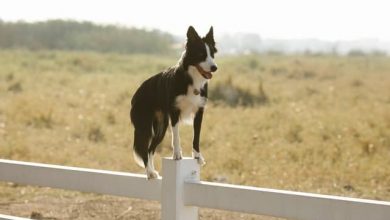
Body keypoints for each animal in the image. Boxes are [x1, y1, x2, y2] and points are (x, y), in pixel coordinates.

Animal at [130, 26, 216, 179]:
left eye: (212, 54)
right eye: (201, 54)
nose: (214, 67)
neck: (191, 80)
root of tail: (137, 93)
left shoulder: (199, 112)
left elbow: (196, 137)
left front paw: (198, 156)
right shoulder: (175, 112)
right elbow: (176, 136)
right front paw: (177, 155)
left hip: (161, 126)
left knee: (150, 149)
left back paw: (153, 172)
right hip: (145, 126)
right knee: (144, 149)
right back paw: (150, 172)